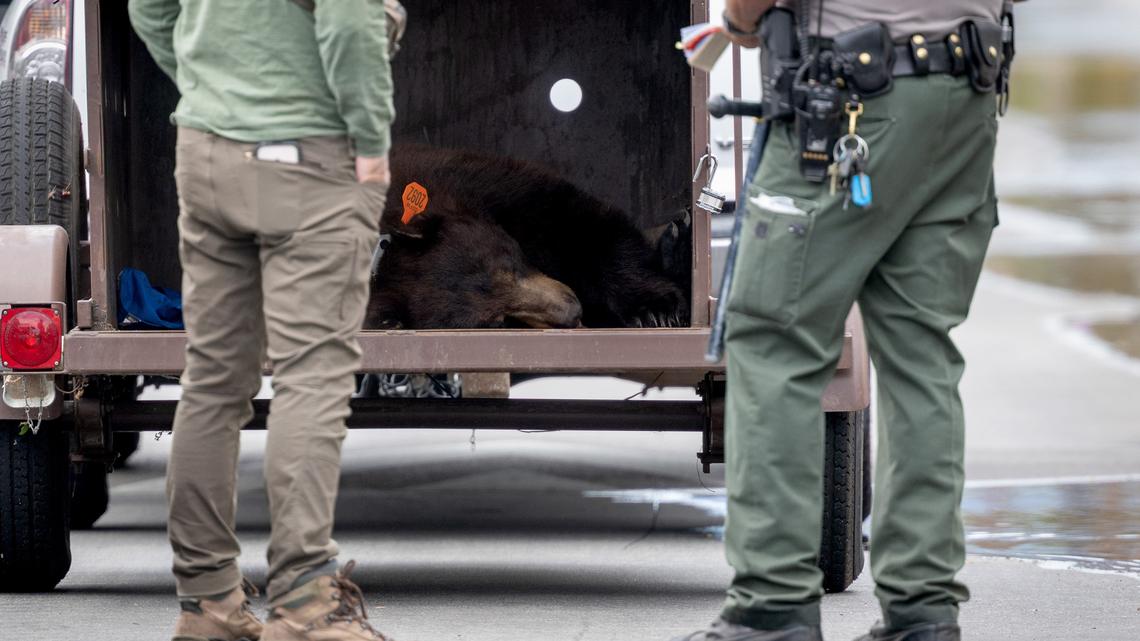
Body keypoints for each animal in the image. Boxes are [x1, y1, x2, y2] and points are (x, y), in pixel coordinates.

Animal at [363, 144, 690, 330]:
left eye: (510, 262)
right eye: (499, 320)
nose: (572, 311)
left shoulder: (487, 185)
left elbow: (585, 226)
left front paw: (655, 309)